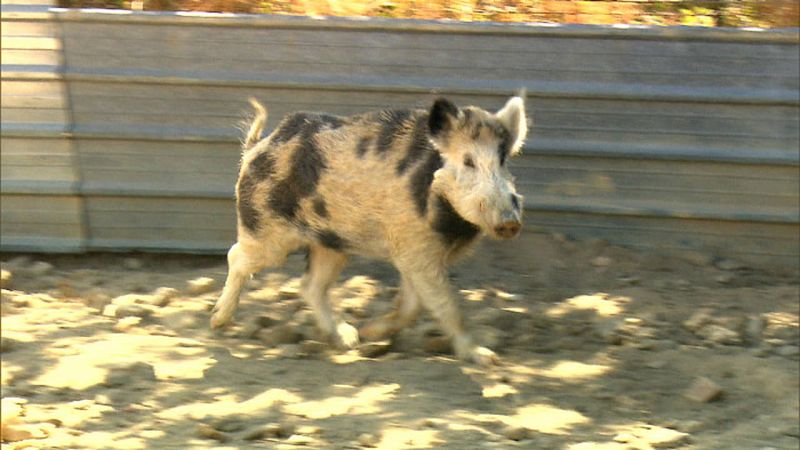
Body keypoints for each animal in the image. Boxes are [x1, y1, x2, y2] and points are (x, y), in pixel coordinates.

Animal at [211, 96, 532, 366]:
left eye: (503, 160)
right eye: (468, 161)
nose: (510, 221)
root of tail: (256, 147)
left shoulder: (413, 254)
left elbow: (413, 306)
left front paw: (369, 333)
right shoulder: (415, 248)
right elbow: (446, 306)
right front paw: (486, 358)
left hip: (332, 243)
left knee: (311, 285)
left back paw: (348, 339)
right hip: (266, 232)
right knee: (235, 256)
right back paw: (218, 322)